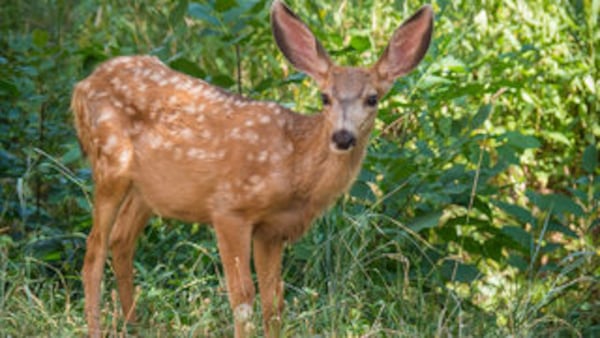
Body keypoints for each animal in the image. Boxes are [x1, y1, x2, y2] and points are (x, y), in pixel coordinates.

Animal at [72, 1, 434, 336]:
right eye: (325, 97)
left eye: (372, 99)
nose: (343, 137)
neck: (294, 166)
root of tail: (81, 86)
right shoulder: (229, 209)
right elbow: (243, 298)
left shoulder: (272, 230)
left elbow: (274, 302)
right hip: (110, 163)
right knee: (93, 250)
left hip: (147, 191)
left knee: (122, 240)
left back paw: (136, 325)